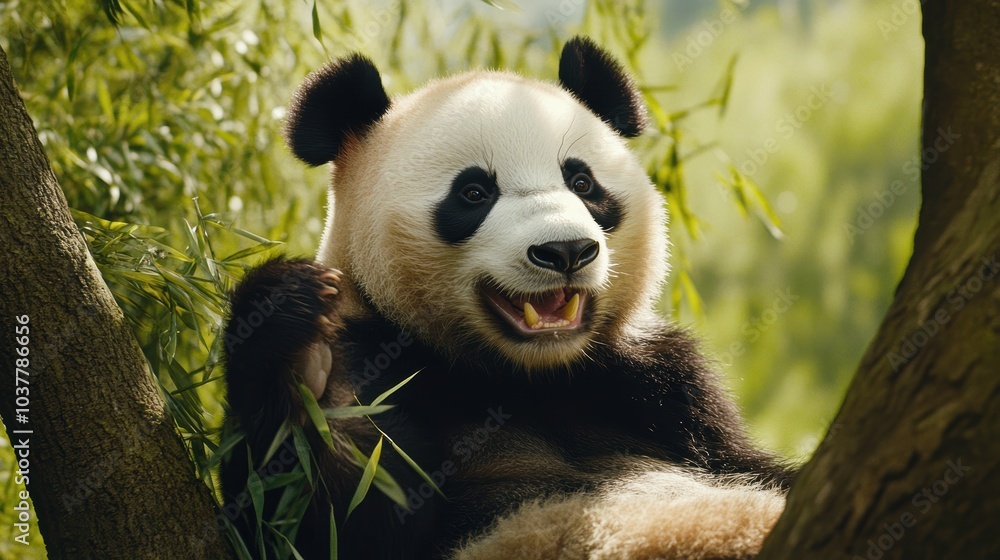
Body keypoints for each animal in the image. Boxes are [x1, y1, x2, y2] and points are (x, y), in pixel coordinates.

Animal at [221, 36, 792, 560]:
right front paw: (301, 359)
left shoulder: (662, 384)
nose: (566, 250)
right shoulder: (380, 363)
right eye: (474, 193)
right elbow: (322, 522)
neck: (527, 374)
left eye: (582, 182)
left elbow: (750, 466)